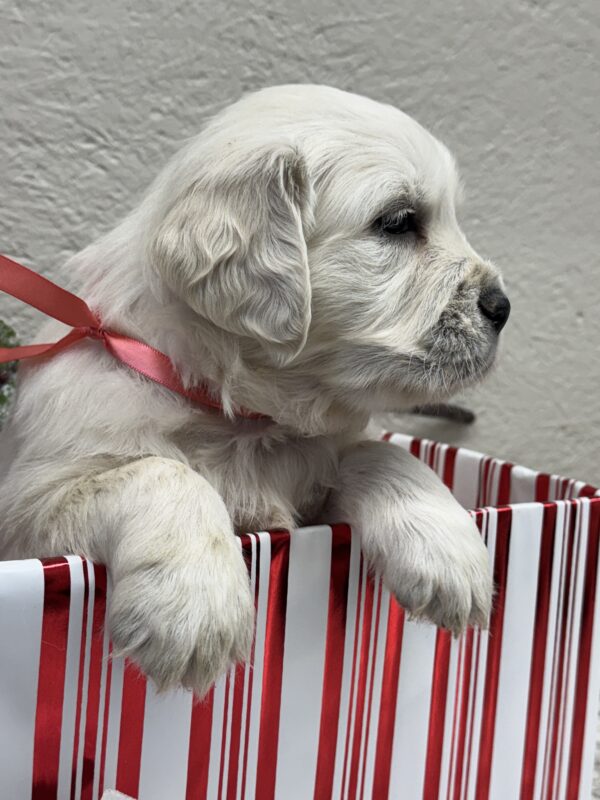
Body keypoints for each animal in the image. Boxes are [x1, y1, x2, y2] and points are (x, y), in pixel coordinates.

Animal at [0, 86, 510, 692]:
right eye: (398, 222)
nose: (504, 308)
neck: (243, 421)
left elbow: (381, 452)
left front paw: (452, 554)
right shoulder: (26, 511)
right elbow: (159, 471)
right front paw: (194, 611)